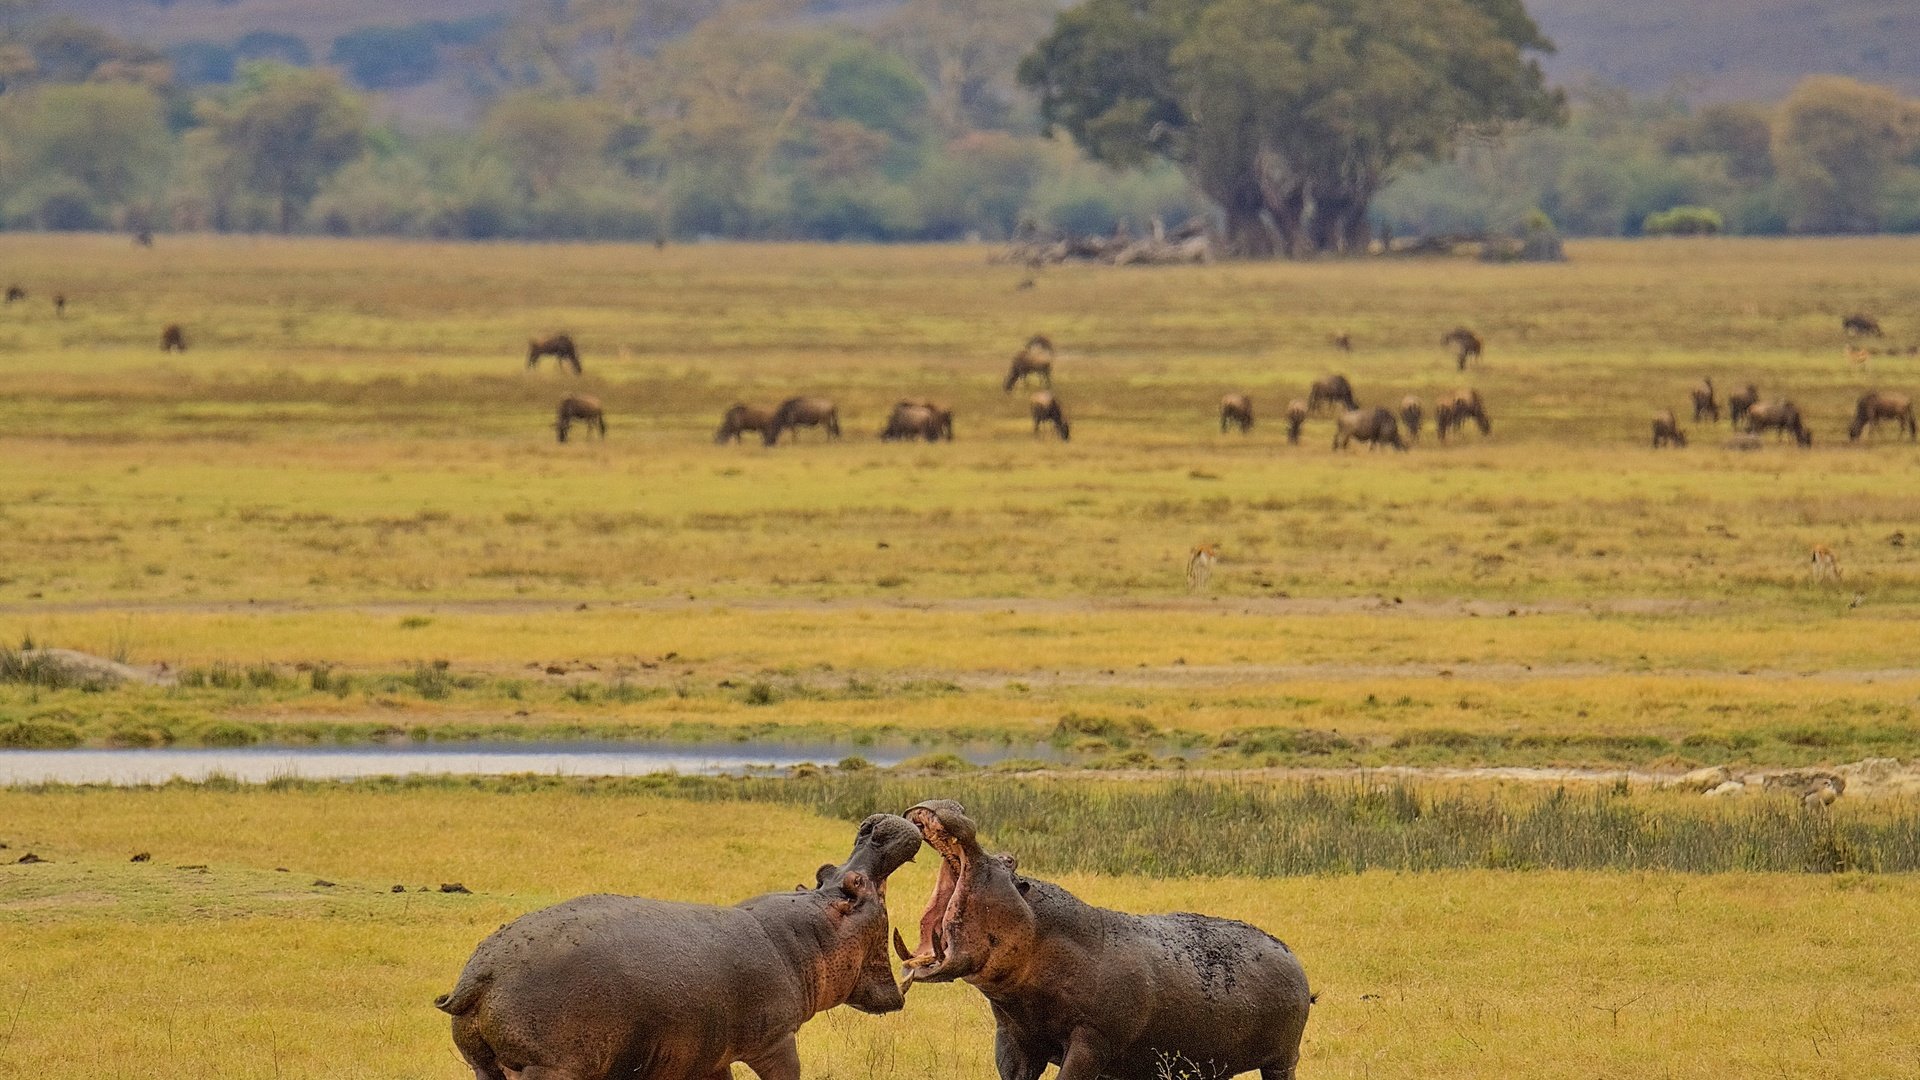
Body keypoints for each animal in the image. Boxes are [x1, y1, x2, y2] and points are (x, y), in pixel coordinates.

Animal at [439, 810, 917, 1076]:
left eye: (826, 871)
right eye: (855, 885)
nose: (875, 828)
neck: (805, 939)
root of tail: (482, 974)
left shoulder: (709, 1058)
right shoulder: (777, 1041)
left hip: (483, 1065)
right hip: (548, 1068)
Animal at [894, 799, 1313, 1076]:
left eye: (1010, 860)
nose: (955, 803)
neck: (1040, 932)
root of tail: (1292, 956)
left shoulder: (1091, 1040)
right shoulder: (1015, 1037)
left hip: (1282, 1060)